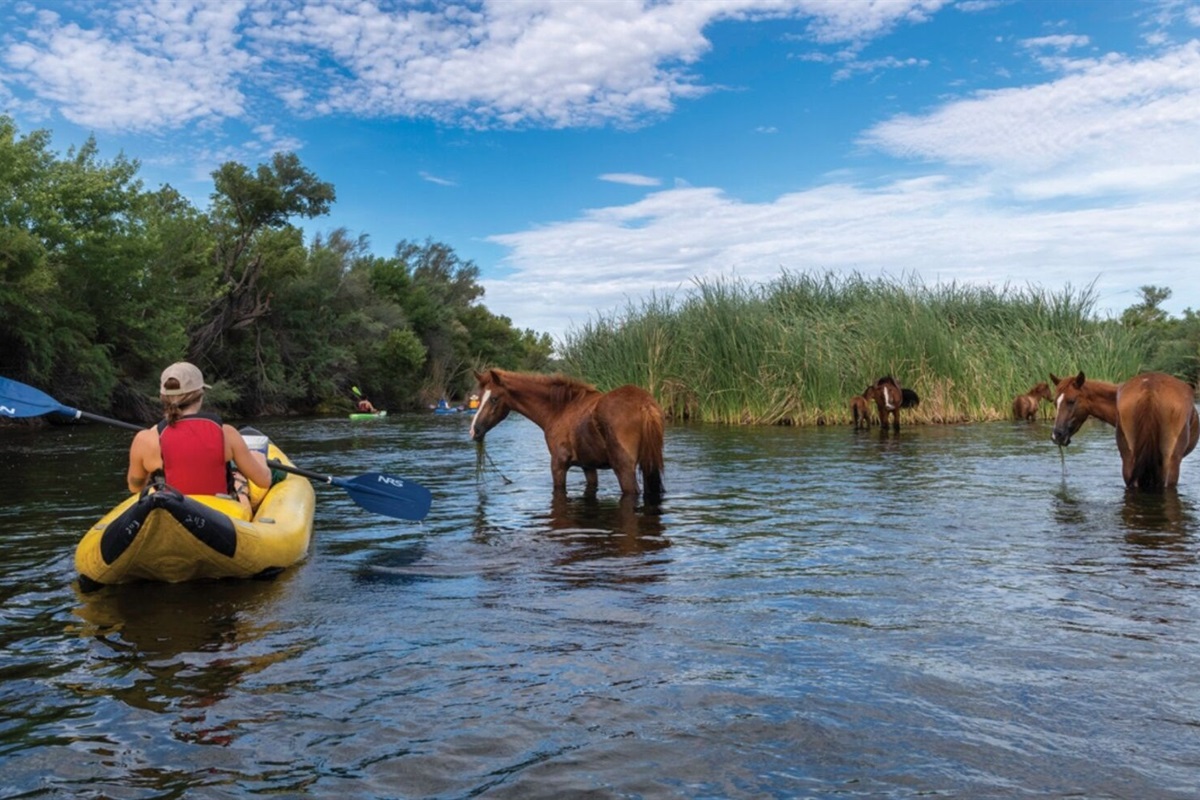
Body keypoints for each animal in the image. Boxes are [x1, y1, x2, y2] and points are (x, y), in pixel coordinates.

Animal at [469, 368, 665, 501]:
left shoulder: (558, 464)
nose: (474, 430)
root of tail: (644, 405)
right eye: (478, 398)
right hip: (649, 465)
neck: (559, 409)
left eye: (494, 399)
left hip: (624, 469)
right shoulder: (588, 466)